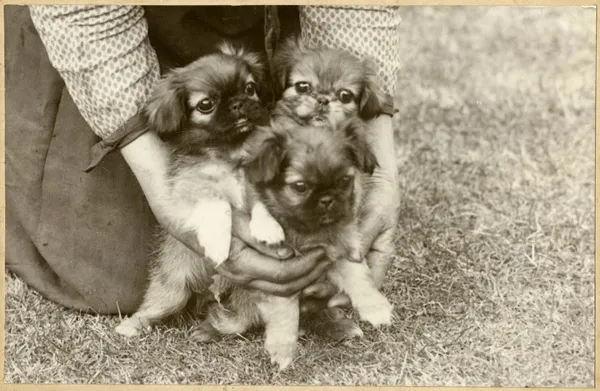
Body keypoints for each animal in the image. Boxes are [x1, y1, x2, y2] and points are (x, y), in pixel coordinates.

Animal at [116, 42, 286, 336]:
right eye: (206, 104)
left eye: (250, 88)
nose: (238, 103)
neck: (231, 152)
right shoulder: (189, 188)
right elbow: (216, 204)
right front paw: (217, 243)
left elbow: (262, 203)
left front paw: (269, 228)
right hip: (172, 286)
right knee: (156, 307)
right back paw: (132, 326)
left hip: (252, 295)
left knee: (237, 320)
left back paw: (208, 329)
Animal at [189, 119, 394, 370]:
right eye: (300, 186)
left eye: (345, 181)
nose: (327, 199)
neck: (306, 231)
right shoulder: (282, 279)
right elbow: (285, 312)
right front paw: (283, 349)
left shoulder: (339, 254)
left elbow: (360, 280)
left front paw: (376, 307)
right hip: (238, 314)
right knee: (229, 321)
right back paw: (208, 330)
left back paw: (338, 326)